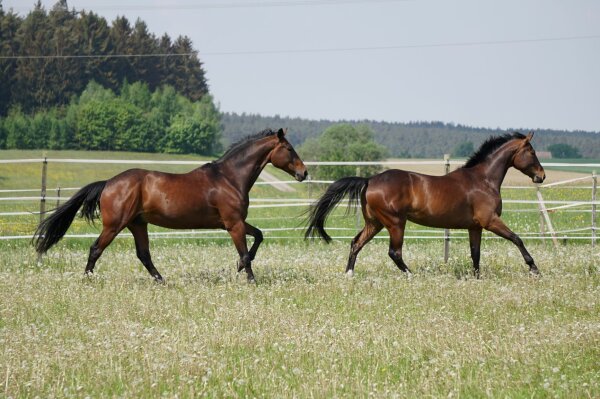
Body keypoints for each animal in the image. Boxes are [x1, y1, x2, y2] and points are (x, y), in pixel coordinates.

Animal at [33, 128, 308, 282]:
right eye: (289, 148)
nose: (304, 173)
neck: (229, 178)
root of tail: (109, 183)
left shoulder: (234, 223)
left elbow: (259, 236)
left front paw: (239, 269)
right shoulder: (234, 224)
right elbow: (245, 252)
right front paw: (250, 278)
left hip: (137, 224)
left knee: (143, 255)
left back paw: (161, 280)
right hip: (114, 225)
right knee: (96, 249)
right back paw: (88, 279)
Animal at [308, 131, 548, 278]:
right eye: (532, 152)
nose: (542, 176)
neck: (483, 180)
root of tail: (369, 180)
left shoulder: (475, 227)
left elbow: (476, 254)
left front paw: (477, 278)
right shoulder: (490, 221)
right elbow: (516, 238)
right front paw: (534, 268)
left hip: (375, 223)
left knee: (356, 243)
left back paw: (349, 274)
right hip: (395, 223)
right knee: (394, 252)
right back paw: (411, 275)